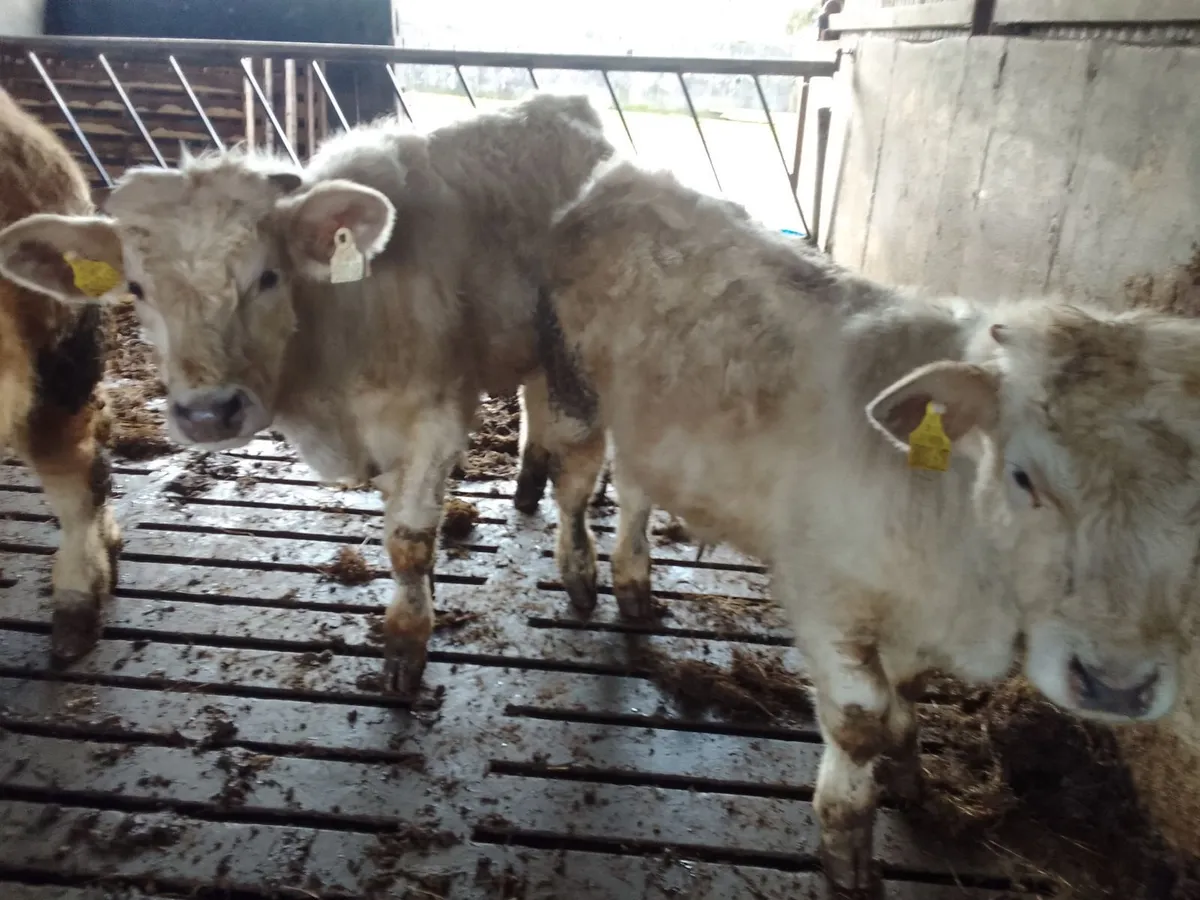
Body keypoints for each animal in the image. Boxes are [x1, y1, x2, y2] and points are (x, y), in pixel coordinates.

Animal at [0, 92, 614, 695]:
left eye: (268, 277)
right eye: (138, 288)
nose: (208, 413)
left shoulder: (435, 418)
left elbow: (409, 539)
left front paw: (405, 644)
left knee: (577, 473)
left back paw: (580, 567)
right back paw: (530, 482)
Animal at [535, 158, 1192, 893]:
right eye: (1023, 475)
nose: (1118, 686)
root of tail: (626, 177)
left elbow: (906, 695)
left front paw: (909, 773)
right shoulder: (826, 595)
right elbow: (860, 721)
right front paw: (847, 841)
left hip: (650, 425)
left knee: (636, 489)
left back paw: (634, 583)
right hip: (572, 389)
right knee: (574, 485)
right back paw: (581, 574)